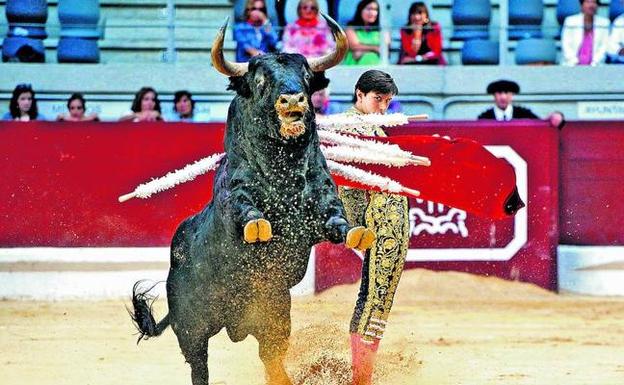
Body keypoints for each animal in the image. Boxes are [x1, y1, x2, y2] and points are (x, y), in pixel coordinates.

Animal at [131, 15, 372, 384]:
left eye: (305, 76)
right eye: (260, 80)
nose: (292, 100)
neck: (283, 174)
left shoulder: (320, 207)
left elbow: (337, 220)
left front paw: (358, 234)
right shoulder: (237, 198)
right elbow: (248, 212)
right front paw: (258, 226)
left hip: (275, 316)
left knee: (271, 358)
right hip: (191, 329)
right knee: (199, 367)